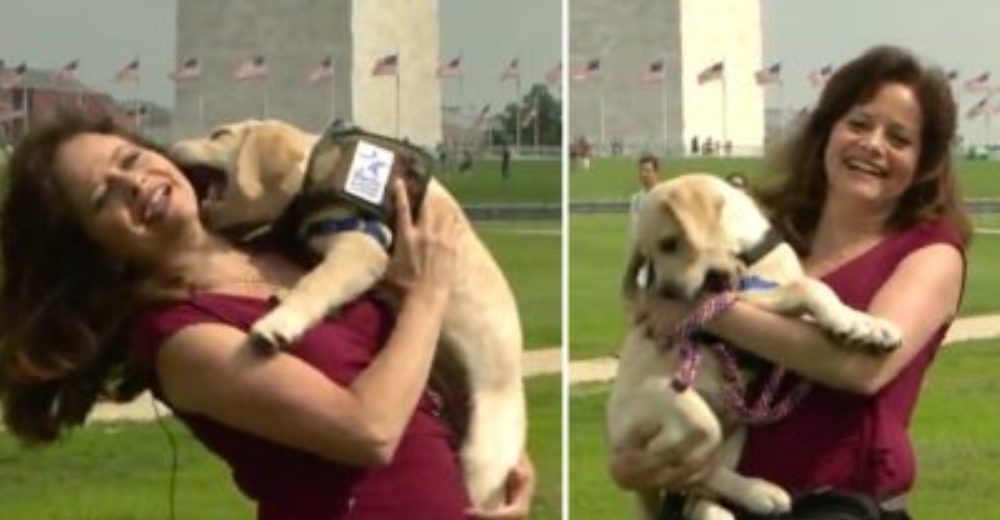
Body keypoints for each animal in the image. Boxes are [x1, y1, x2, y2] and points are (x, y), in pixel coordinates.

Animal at [604, 175, 904, 520]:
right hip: (655, 398)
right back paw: (754, 489)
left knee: (700, 492)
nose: (664, 295)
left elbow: (816, 292)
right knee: (700, 450)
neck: (750, 253)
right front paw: (855, 322)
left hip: (738, 431)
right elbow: (807, 287)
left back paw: (740, 501)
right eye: (648, 258)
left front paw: (866, 325)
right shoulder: (737, 300)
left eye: (667, 244)